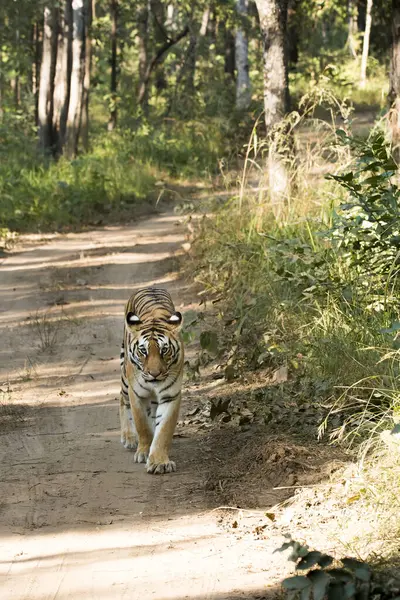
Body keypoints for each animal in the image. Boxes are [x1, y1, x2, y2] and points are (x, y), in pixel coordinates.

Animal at [119, 286, 184, 474]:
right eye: (143, 351)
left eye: (164, 350)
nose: (154, 373)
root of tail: (150, 287)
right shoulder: (137, 394)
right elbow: (143, 426)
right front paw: (143, 451)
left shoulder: (170, 395)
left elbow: (164, 430)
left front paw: (159, 462)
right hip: (125, 382)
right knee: (122, 400)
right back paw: (129, 437)